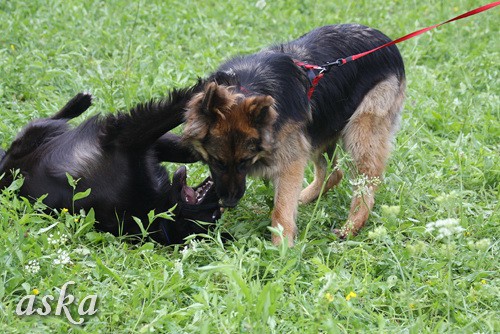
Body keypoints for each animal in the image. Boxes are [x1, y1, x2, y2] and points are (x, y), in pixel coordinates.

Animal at [0, 89, 221, 245]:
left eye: (213, 215)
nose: (223, 197)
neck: (160, 210)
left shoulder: (124, 140)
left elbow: (170, 111)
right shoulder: (138, 145)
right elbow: (185, 147)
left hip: (29, 139)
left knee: (43, 122)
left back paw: (79, 103)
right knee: (51, 119)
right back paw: (79, 103)